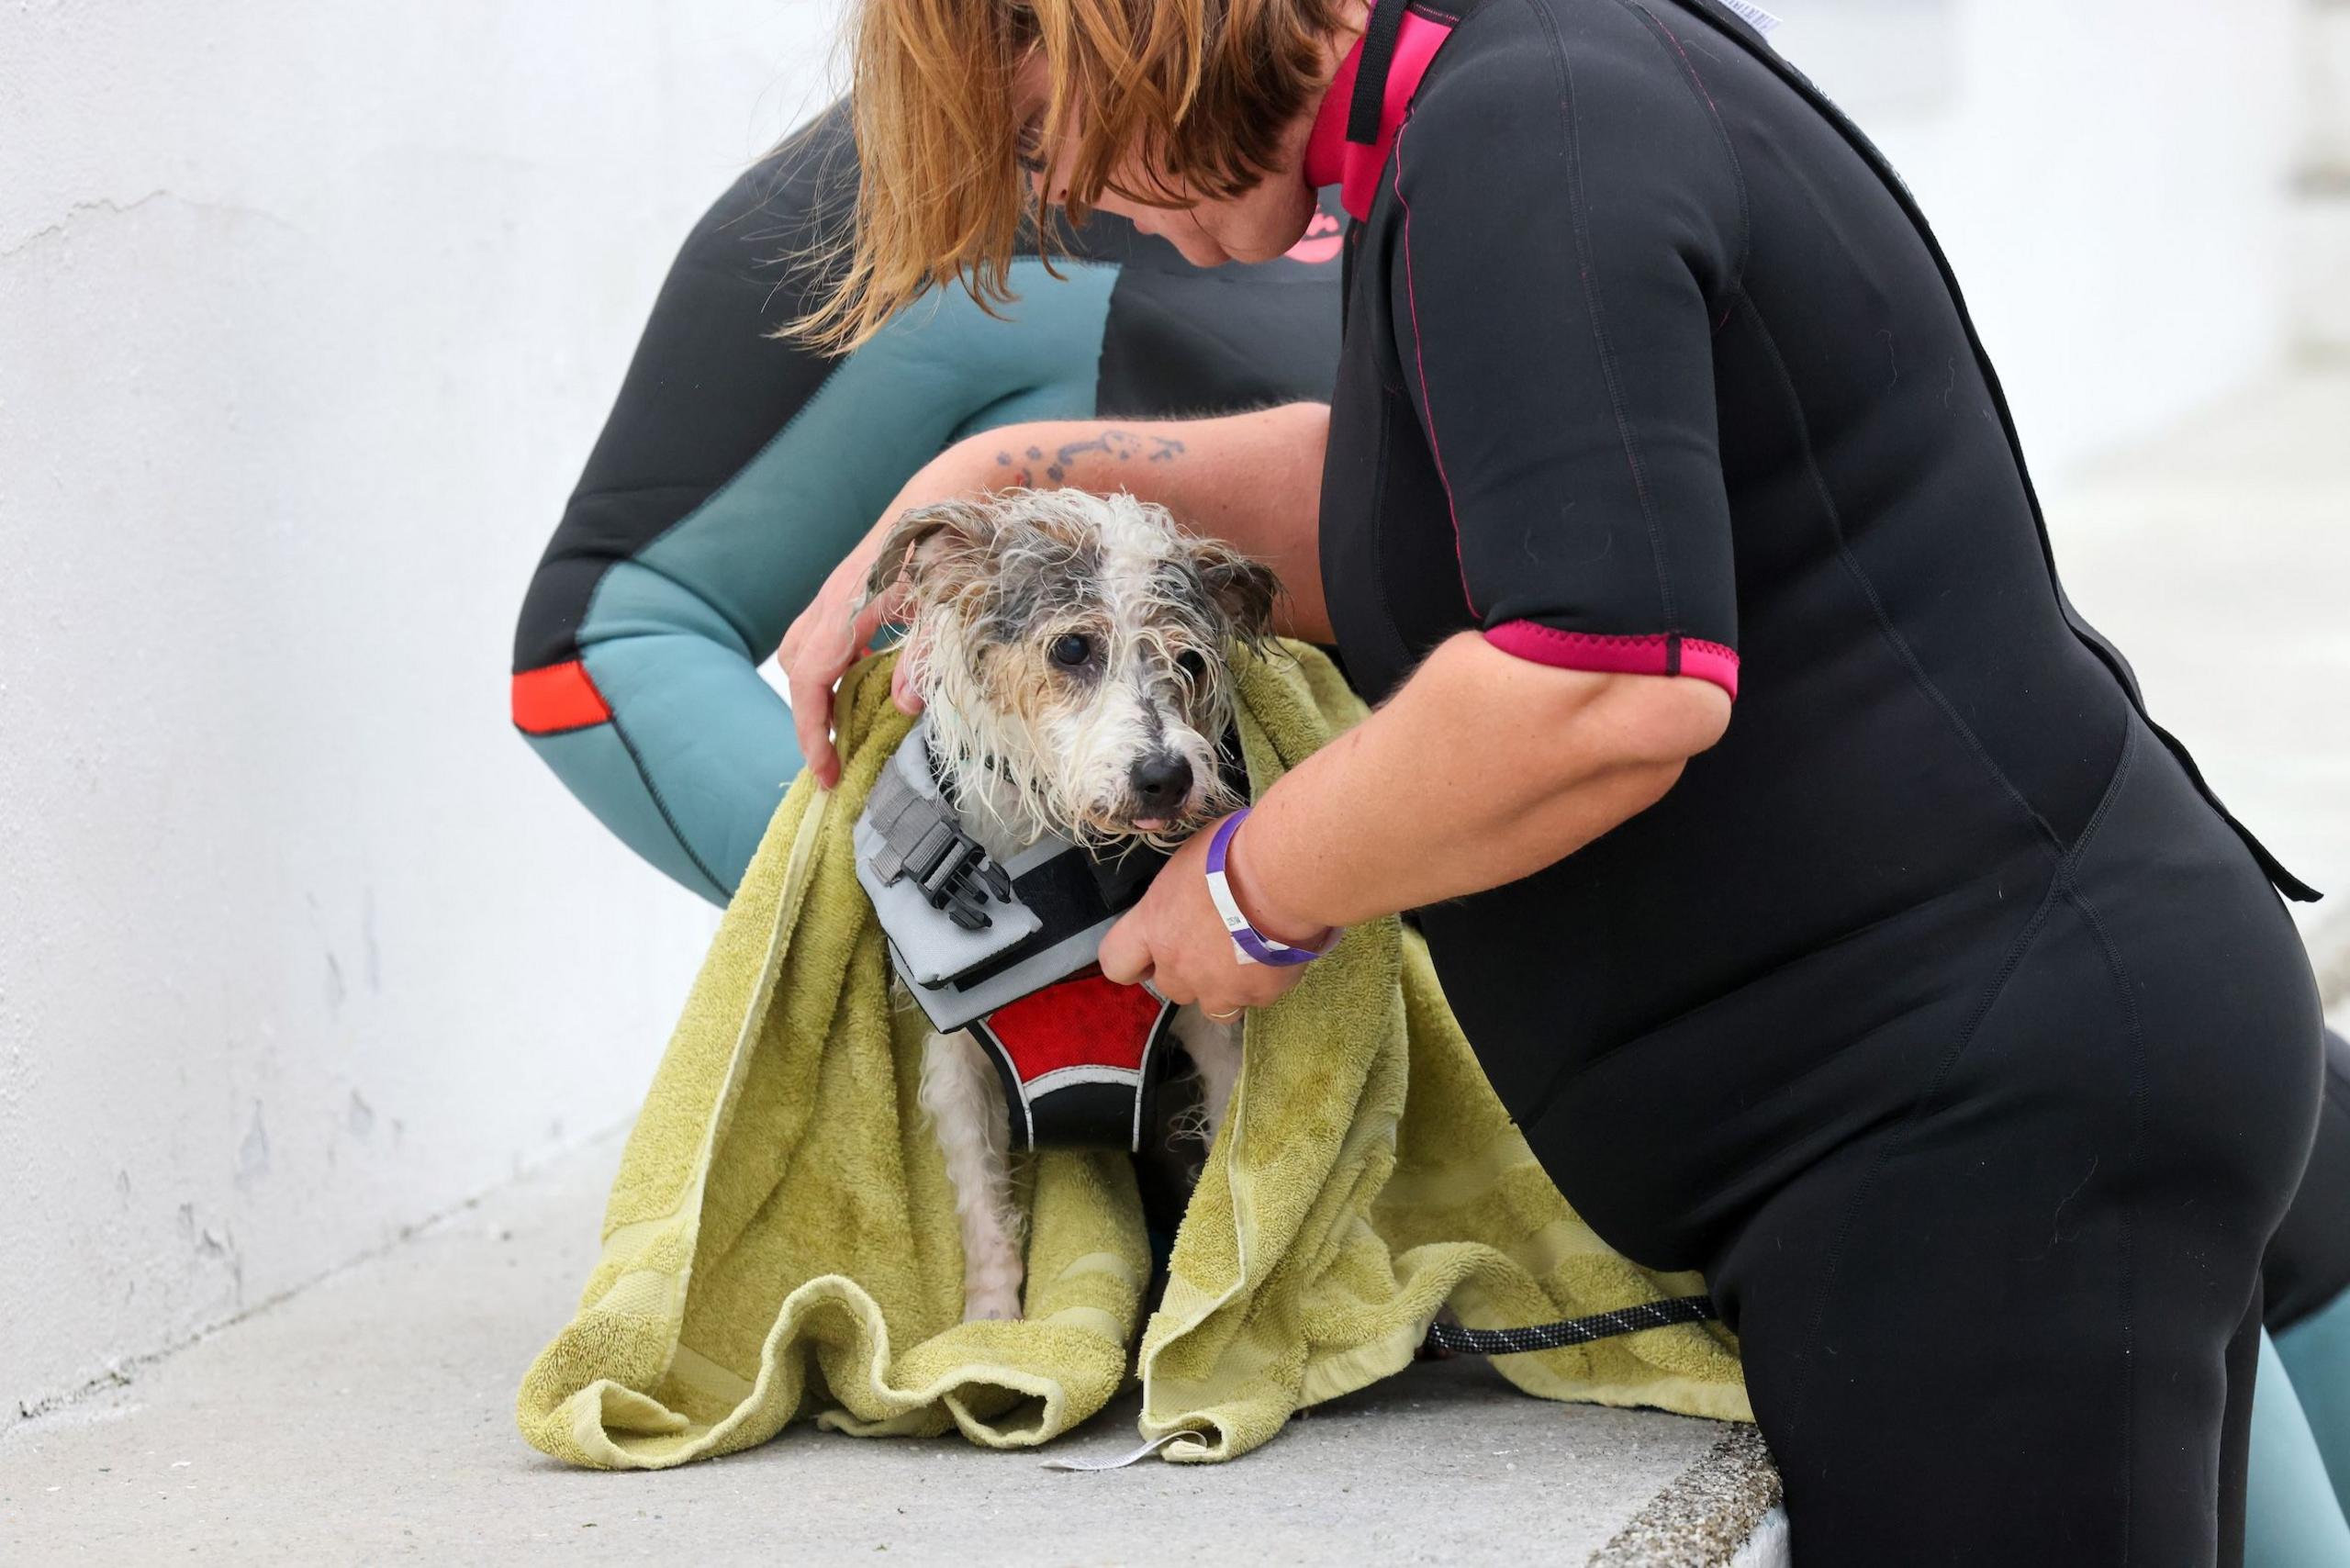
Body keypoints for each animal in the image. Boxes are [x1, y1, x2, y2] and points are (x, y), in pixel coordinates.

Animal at [865, 491, 1278, 1326]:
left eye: (1191, 662)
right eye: (1073, 648)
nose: (1165, 777)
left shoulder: (1211, 1033)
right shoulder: (956, 1069)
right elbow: (982, 1209)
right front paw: (990, 1326)